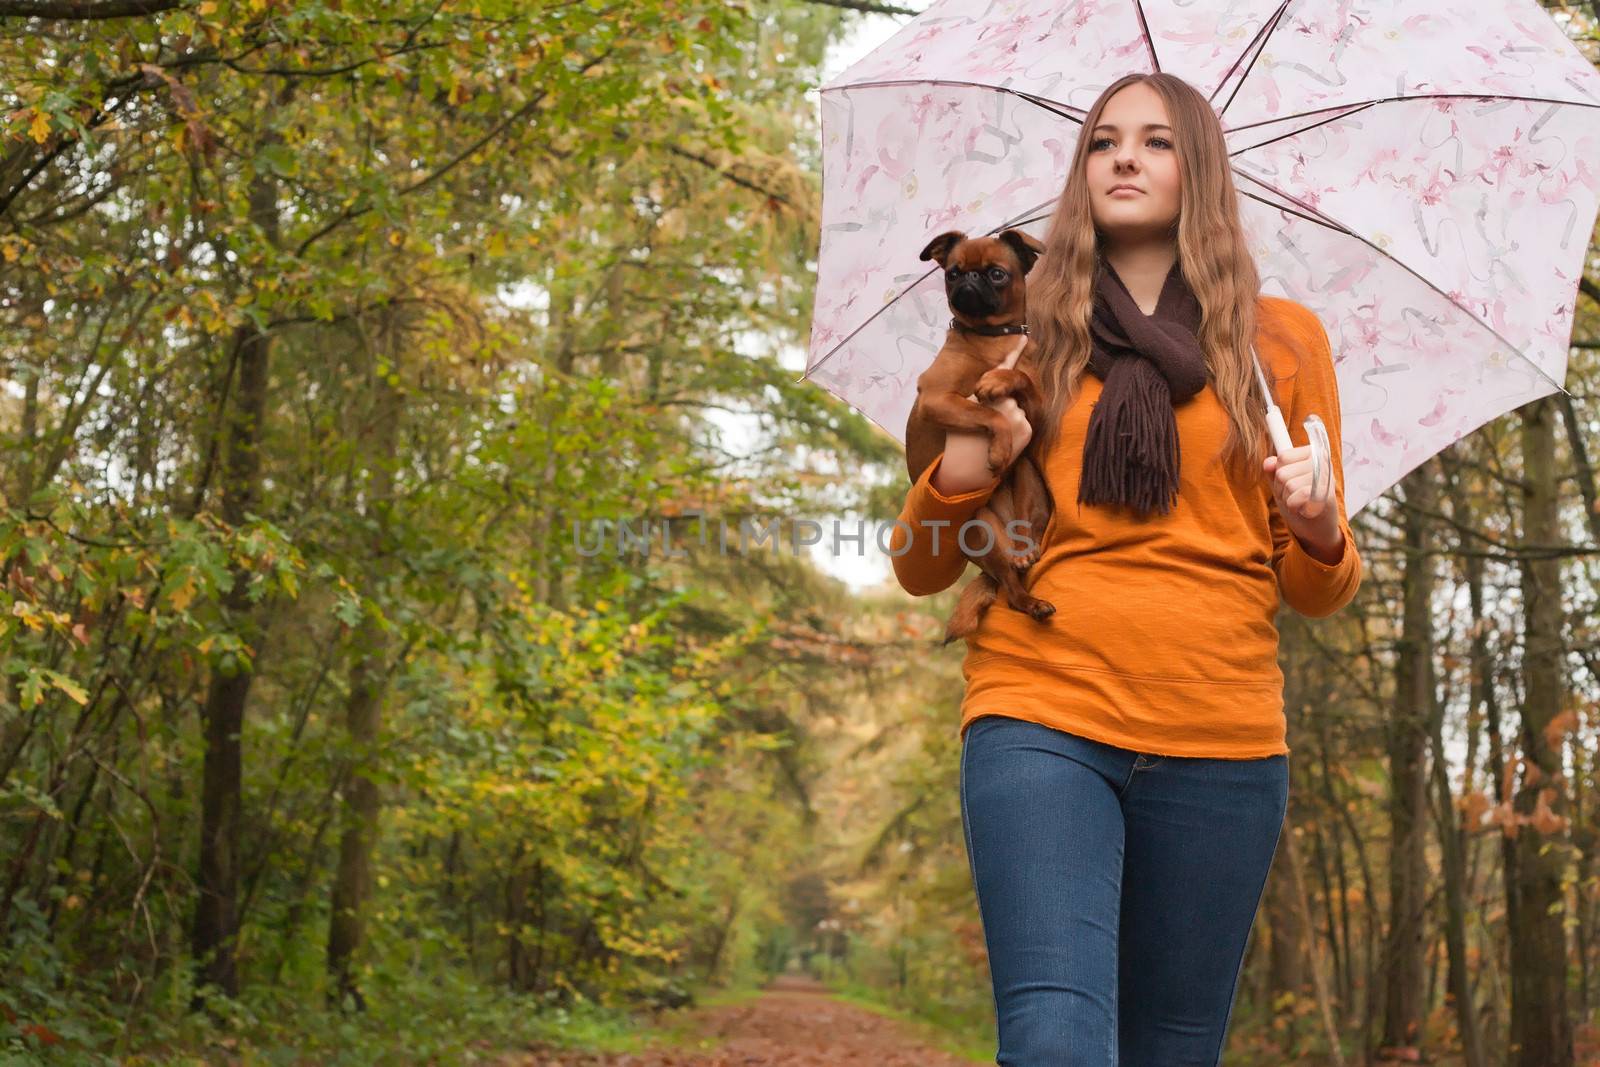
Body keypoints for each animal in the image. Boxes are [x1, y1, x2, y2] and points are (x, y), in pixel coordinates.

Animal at [908, 227, 1056, 643]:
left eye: (997, 274)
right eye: (952, 273)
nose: (969, 280)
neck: (991, 338)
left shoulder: (1038, 413)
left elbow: (1019, 380)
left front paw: (999, 379)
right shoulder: (938, 398)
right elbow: (990, 414)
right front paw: (998, 449)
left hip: (1030, 485)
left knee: (1028, 538)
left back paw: (1028, 550)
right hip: (983, 533)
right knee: (1011, 589)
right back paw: (1030, 600)